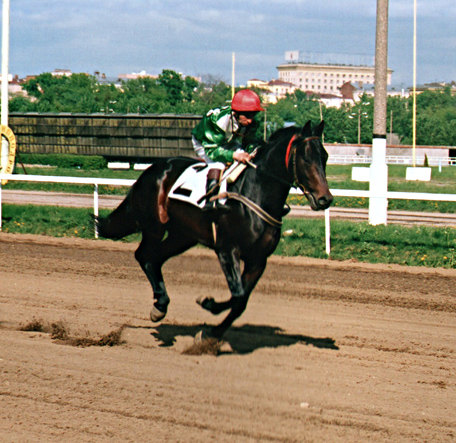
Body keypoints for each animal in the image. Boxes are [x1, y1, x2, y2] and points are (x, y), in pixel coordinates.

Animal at [96, 119, 334, 342]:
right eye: (305, 158)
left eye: (325, 157)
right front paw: (209, 305)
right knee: (143, 255)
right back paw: (160, 308)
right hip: (155, 225)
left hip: (183, 236)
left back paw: (161, 305)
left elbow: (241, 301)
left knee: (154, 259)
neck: (255, 194)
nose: (325, 199)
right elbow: (237, 294)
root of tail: (150, 171)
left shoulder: (258, 259)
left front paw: (211, 332)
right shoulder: (227, 250)